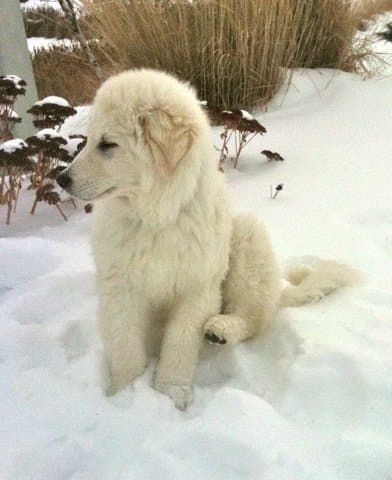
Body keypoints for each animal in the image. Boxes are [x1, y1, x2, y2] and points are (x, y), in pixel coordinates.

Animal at [56, 69, 360, 410]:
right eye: (90, 139)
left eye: (108, 144)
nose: (61, 179)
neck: (158, 216)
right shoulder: (120, 287)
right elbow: (126, 347)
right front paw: (126, 395)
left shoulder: (197, 289)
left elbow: (179, 347)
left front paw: (169, 396)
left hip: (246, 237)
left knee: (253, 318)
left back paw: (221, 329)